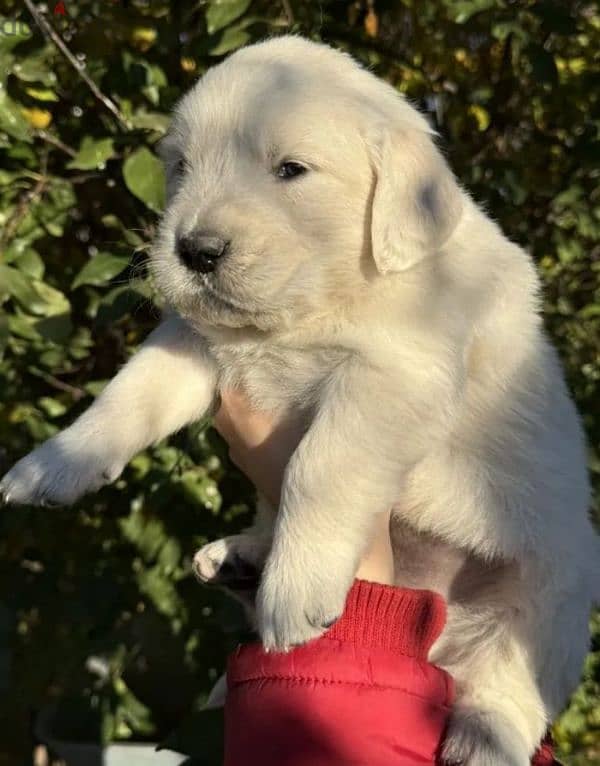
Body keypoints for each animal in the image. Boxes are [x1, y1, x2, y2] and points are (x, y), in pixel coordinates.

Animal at [2, 37, 596, 766]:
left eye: (291, 170)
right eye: (181, 167)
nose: (194, 250)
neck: (305, 309)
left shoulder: (391, 377)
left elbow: (320, 466)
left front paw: (297, 584)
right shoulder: (193, 342)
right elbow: (128, 394)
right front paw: (54, 463)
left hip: (553, 590)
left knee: (510, 678)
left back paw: (482, 735)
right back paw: (240, 555)